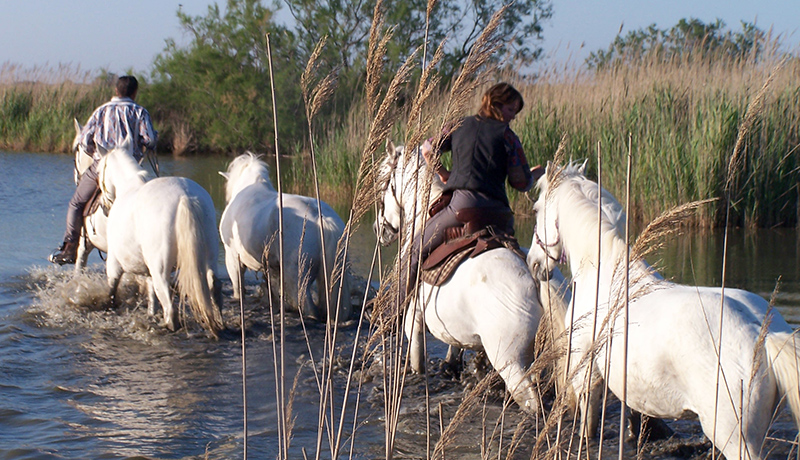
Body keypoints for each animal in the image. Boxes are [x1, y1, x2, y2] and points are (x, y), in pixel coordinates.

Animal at [100, 137, 227, 334]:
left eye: (98, 170)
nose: (104, 207)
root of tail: (185, 196)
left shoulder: (114, 262)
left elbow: (112, 290)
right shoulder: (148, 269)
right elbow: (151, 292)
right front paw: (151, 313)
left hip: (161, 268)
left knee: (169, 305)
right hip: (210, 256)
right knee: (214, 287)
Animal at [217, 153, 352, 322]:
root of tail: (321, 218)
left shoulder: (233, 258)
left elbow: (238, 288)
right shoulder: (272, 268)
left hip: (297, 277)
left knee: (308, 307)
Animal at [374, 142, 548, 412]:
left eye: (382, 180)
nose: (379, 230)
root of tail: (536, 280)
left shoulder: (414, 321)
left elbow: (417, 363)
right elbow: (453, 357)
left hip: (512, 364)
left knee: (531, 401)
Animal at [524, 162, 800, 460]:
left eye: (537, 209)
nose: (533, 264)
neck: (604, 272)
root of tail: (765, 336)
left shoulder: (586, 373)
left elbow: (588, 425)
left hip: (736, 440)